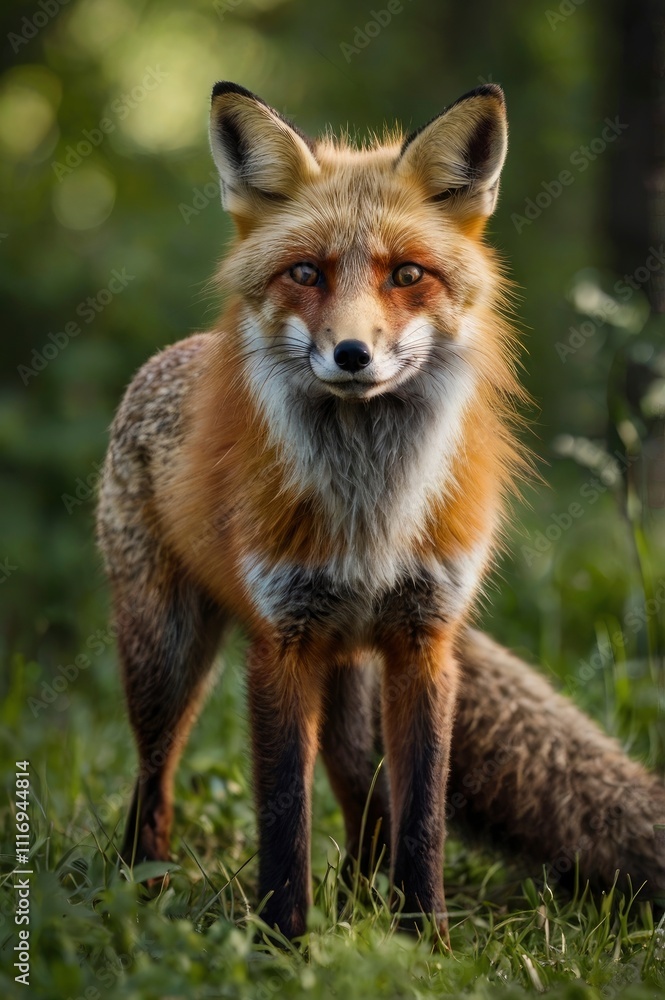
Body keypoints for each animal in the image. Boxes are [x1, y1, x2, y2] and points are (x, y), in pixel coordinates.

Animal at [96, 82, 665, 941]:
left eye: (406, 274)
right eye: (305, 272)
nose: (351, 354)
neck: (372, 514)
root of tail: (170, 356)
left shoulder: (425, 642)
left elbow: (421, 811)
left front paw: (422, 938)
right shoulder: (281, 644)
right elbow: (283, 814)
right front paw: (283, 940)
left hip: (351, 695)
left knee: (364, 807)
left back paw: (360, 902)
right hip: (165, 658)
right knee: (154, 776)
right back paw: (143, 891)